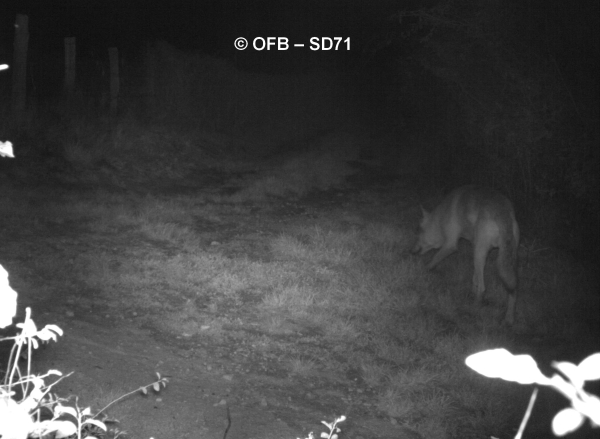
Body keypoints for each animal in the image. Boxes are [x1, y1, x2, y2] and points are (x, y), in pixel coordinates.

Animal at [412, 184, 520, 324]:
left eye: (418, 232)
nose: (411, 251)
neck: (442, 215)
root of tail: (503, 212)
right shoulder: (473, 245)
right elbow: (474, 277)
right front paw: (472, 288)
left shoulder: (451, 244)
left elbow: (433, 260)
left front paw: (422, 270)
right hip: (503, 259)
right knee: (513, 291)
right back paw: (509, 319)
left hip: (480, 254)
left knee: (483, 289)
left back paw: (475, 307)